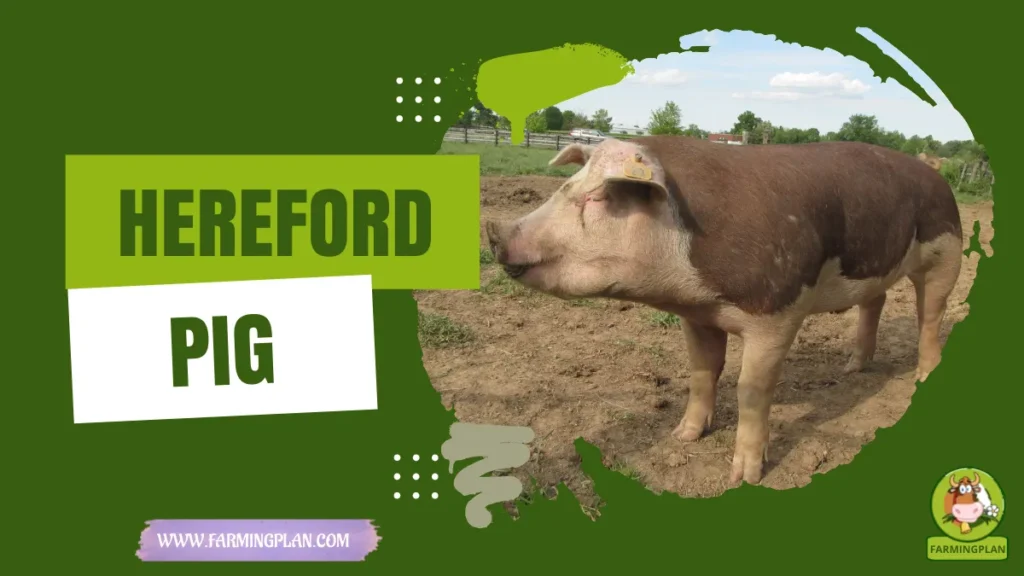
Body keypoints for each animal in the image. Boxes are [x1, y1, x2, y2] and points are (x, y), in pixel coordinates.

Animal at [485, 136, 962, 486]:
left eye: (600, 196)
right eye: (568, 184)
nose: (494, 232)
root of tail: (937, 177)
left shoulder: (778, 311)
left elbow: (751, 389)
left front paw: (744, 477)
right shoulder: (697, 316)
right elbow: (702, 373)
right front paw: (683, 436)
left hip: (947, 252)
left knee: (930, 315)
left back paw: (923, 375)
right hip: (876, 265)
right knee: (874, 300)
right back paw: (852, 368)